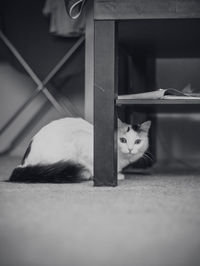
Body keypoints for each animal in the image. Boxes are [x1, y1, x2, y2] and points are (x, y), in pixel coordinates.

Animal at [8, 117, 151, 182]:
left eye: (137, 142)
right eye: (123, 140)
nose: (130, 149)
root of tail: (23, 164)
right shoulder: (83, 144)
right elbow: (92, 166)